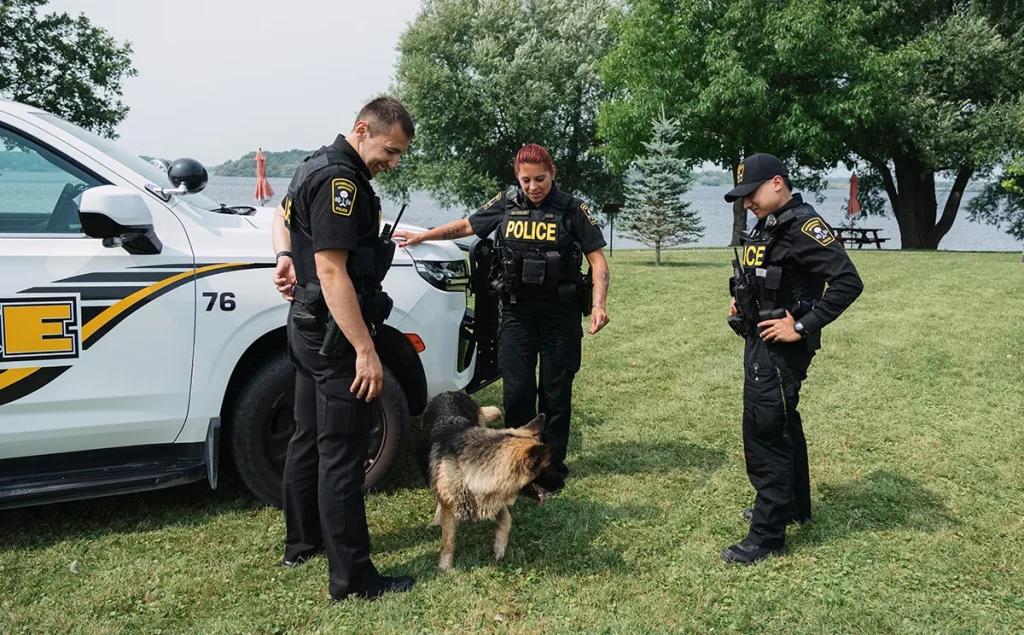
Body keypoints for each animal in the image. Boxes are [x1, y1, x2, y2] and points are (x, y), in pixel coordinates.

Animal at [415, 389, 552, 573]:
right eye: (547, 468)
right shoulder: (451, 508)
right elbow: (448, 541)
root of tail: (451, 392)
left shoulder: (494, 496)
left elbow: (507, 519)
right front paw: (445, 567)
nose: (563, 482)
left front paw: (499, 547)